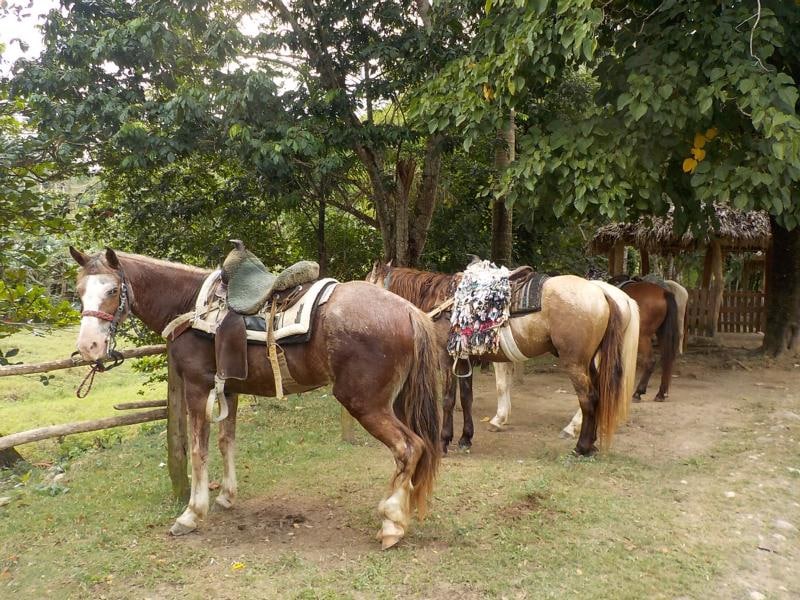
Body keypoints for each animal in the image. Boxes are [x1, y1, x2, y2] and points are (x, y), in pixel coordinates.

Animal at [70, 247, 442, 550]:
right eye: (78, 292)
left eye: (112, 290)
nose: (89, 346)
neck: (189, 306)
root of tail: (408, 310)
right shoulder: (229, 388)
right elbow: (226, 441)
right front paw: (226, 496)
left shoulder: (197, 388)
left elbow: (198, 450)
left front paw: (192, 514)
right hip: (394, 402)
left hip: (366, 404)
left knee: (408, 448)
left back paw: (391, 523)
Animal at [366, 262, 640, 456]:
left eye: (368, 284)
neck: (445, 303)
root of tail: (601, 292)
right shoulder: (464, 360)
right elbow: (467, 398)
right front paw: (465, 438)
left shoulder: (447, 358)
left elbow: (448, 400)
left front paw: (444, 441)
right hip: (589, 362)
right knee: (597, 396)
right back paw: (590, 444)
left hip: (574, 362)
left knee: (588, 398)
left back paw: (581, 447)